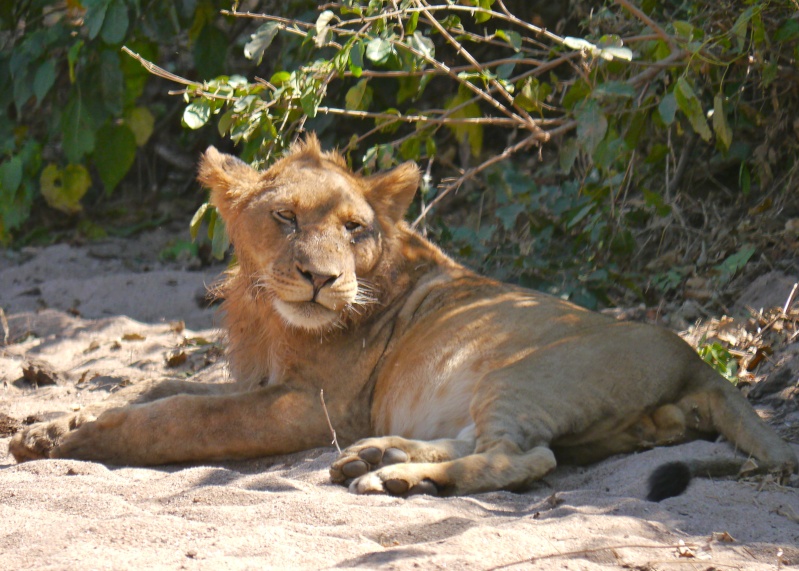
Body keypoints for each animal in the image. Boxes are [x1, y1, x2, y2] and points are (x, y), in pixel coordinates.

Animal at [9, 134, 796, 500]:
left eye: (355, 228)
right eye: (285, 217)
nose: (322, 279)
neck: (267, 310)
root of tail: (697, 361)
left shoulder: (312, 406)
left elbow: (177, 418)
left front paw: (69, 437)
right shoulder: (260, 379)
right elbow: (154, 388)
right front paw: (53, 420)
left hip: (521, 372)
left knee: (523, 457)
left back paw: (395, 479)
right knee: (489, 442)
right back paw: (380, 458)